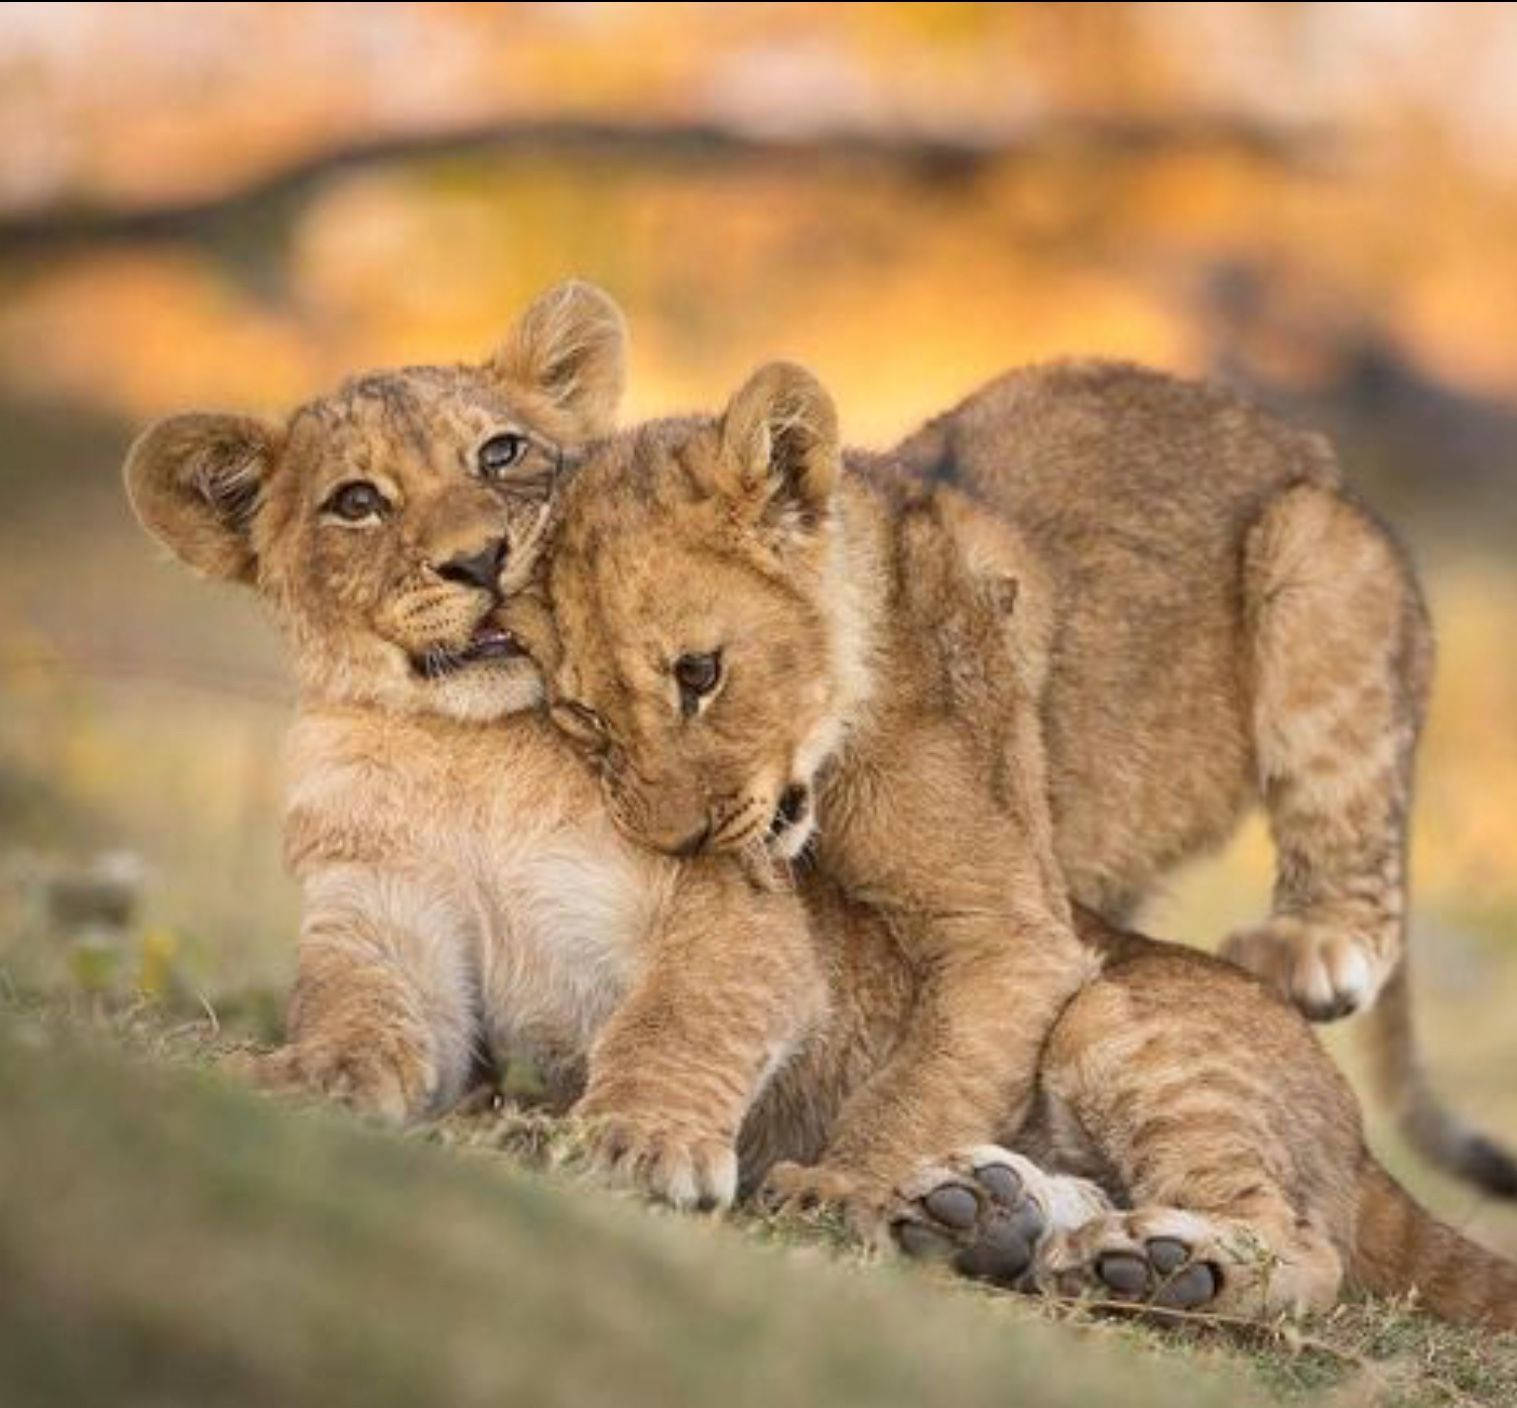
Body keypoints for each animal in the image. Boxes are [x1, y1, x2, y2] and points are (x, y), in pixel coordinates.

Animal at [537, 355, 1516, 1201]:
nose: (682, 842)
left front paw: (842, 1182)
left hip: (1311, 556)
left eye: (698, 672)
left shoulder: (1013, 932)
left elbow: (933, 1073)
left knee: (1355, 836)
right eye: (585, 717)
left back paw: (1311, 946)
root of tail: (1305, 447)